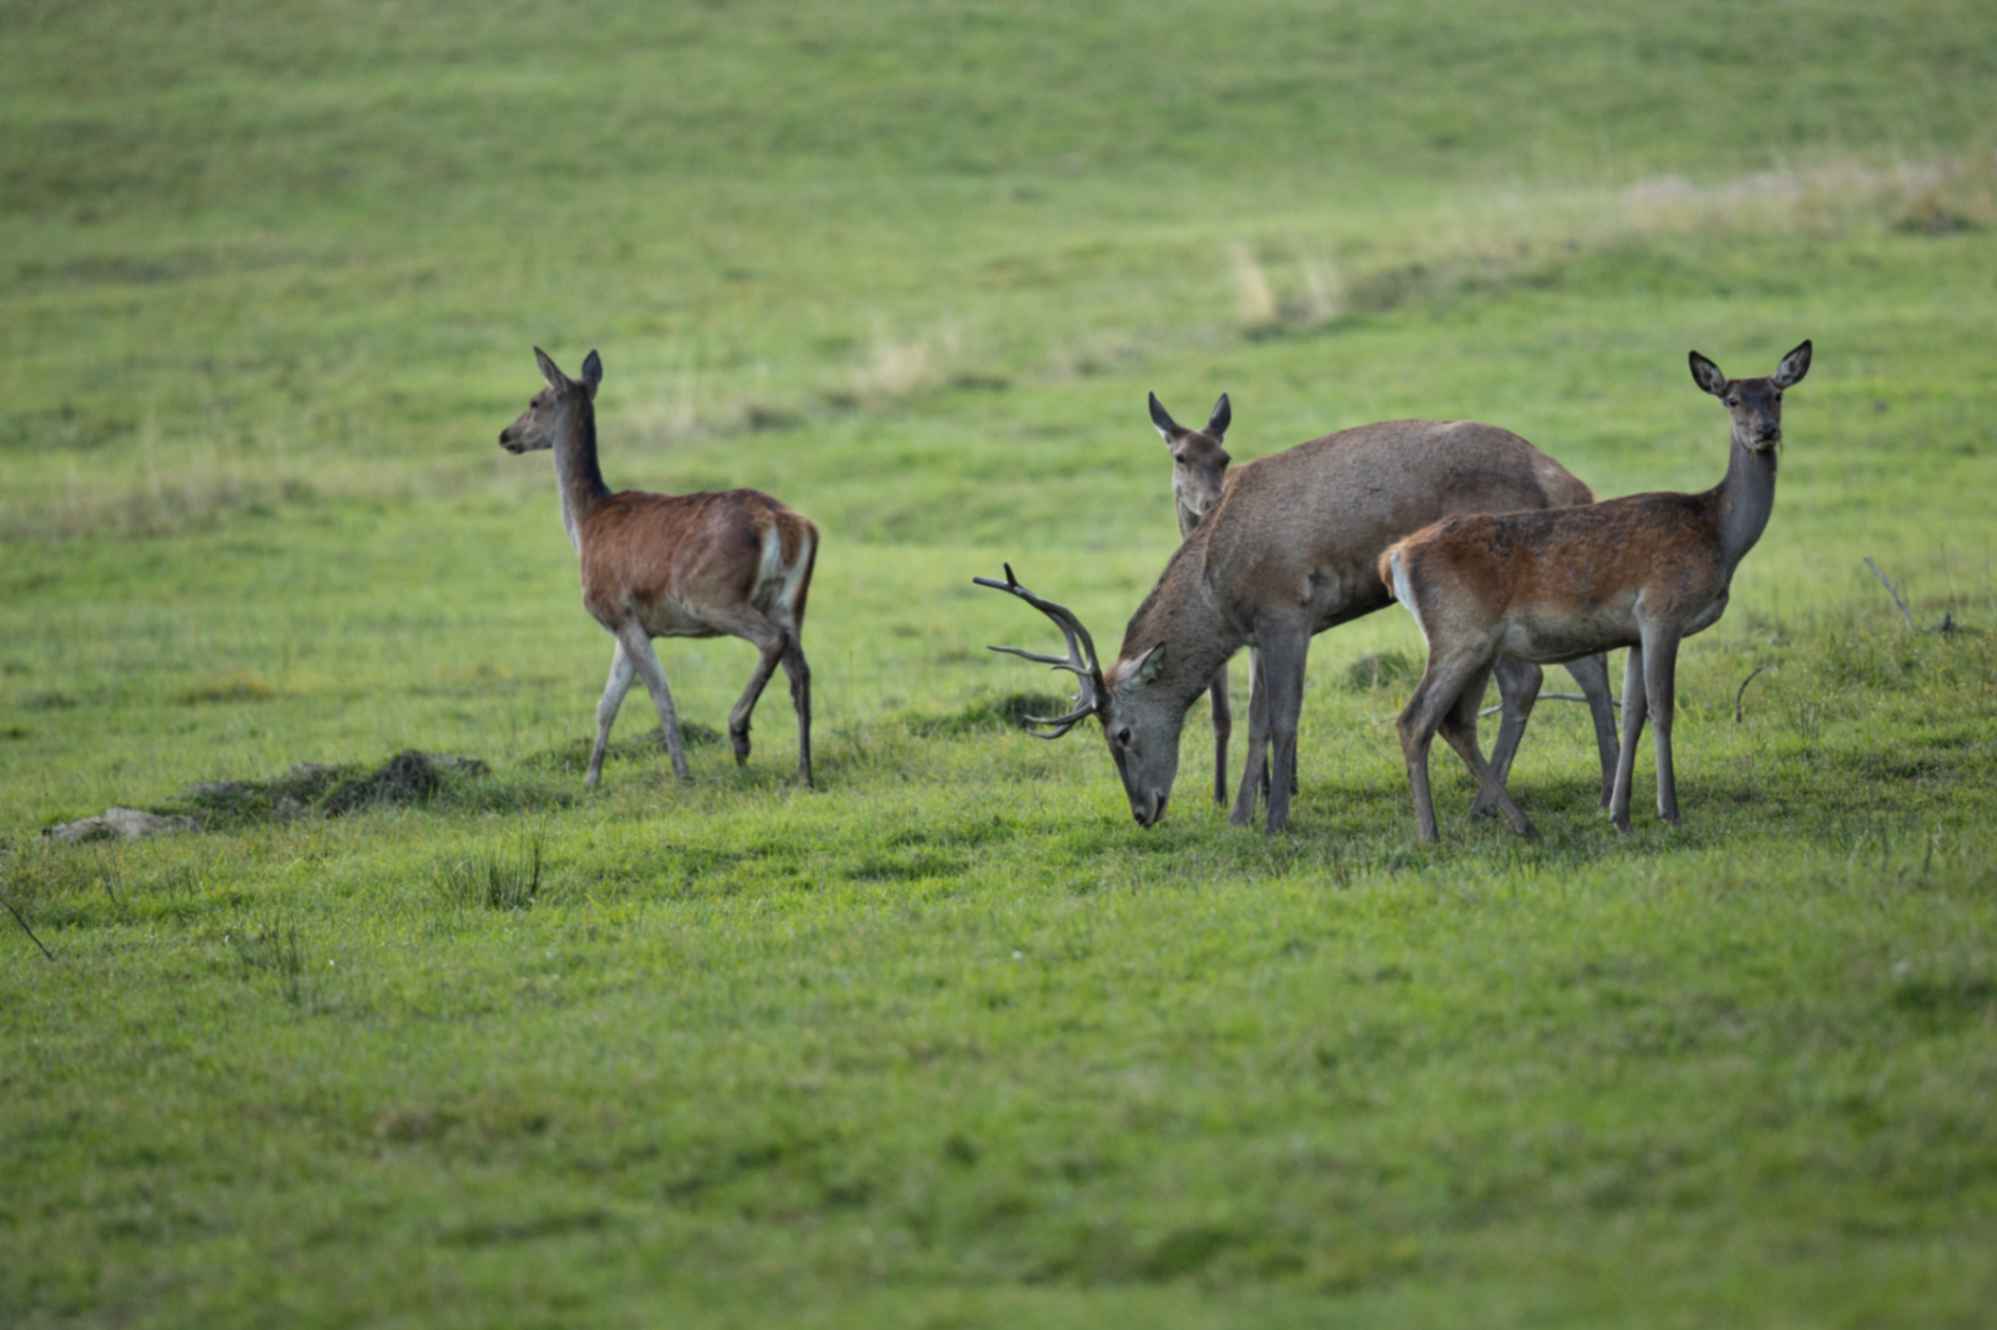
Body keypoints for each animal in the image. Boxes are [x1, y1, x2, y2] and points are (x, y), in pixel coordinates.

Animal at [499, 347, 818, 790]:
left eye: (534, 401)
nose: (505, 435)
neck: (585, 525)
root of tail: (784, 523)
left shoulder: (618, 611)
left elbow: (660, 694)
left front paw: (682, 774)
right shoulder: (630, 624)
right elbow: (607, 702)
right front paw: (591, 780)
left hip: (713, 595)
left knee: (772, 642)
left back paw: (739, 734)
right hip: (790, 600)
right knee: (801, 672)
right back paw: (804, 771)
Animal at [978, 417, 1621, 830]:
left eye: (1122, 734)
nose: (1143, 812)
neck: (1217, 587)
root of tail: (1565, 478)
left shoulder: (1288, 610)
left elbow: (1284, 719)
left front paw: (1276, 821)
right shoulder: (1262, 631)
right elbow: (1256, 721)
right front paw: (1240, 816)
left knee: (1543, 677)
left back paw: (1522, 802)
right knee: (1572, 670)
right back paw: (1578, 793)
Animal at [1381, 341, 1821, 838]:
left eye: (1777, 394)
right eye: (1732, 400)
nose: (1766, 431)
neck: (1719, 537)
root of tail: (1394, 558)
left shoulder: (1633, 632)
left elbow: (1632, 713)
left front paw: (1619, 813)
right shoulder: (1662, 610)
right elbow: (1663, 710)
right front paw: (1669, 810)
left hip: (1476, 643)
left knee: (1455, 722)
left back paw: (1520, 824)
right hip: (1460, 633)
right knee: (1414, 720)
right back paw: (1431, 833)